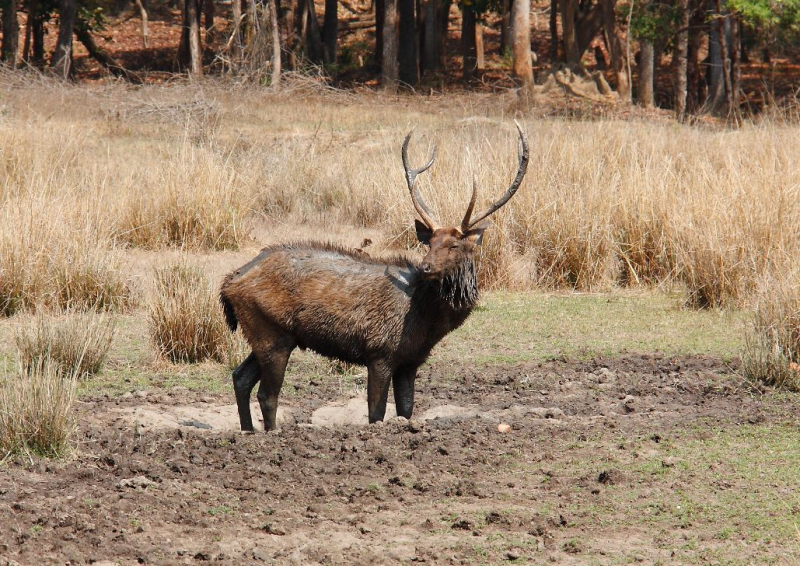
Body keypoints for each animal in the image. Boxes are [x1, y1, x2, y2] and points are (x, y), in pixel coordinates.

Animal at [219, 124, 528, 432]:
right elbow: (376, 412)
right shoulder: (379, 352)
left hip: (267, 334)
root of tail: (229, 283)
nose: (426, 267)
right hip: (272, 332)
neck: (428, 320)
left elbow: (406, 409)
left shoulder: (410, 361)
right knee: (267, 394)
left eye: (455, 245)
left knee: (240, 377)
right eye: (430, 243)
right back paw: (269, 433)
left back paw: (247, 430)